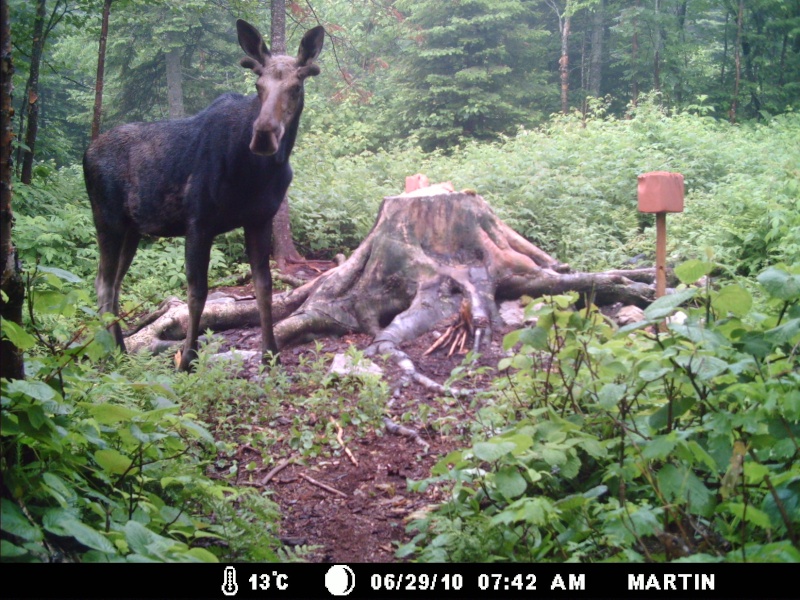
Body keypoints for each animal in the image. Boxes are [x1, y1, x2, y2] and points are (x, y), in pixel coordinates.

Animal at [79, 19, 320, 370]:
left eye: (296, 87)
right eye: (258, 85)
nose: (263, 135)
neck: (258, 173)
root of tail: (86, 153)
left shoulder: (260, 219)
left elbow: (264, 286)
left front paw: (270, 352)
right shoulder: (198, 222)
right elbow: (197, 293)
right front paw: (187, 359)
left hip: (132, 230)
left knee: (113, 284)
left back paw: (120, 350)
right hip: (107, 220)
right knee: (103, 283)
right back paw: (113, 352)